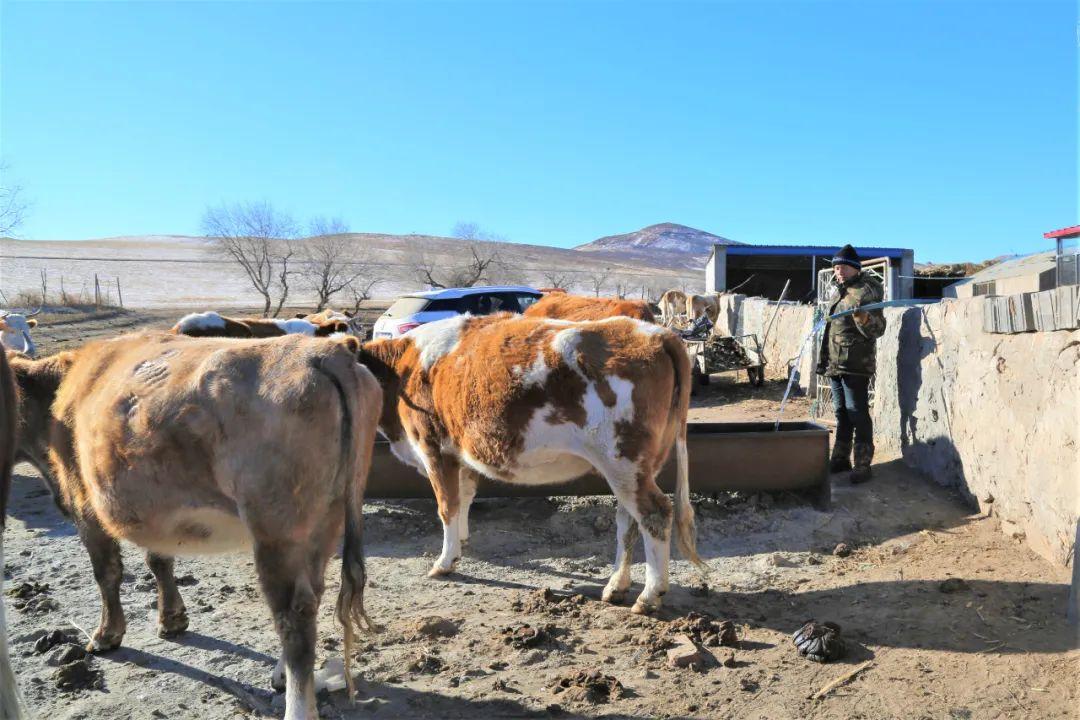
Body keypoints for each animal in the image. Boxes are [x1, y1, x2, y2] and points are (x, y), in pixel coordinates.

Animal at [7, 338, 380, 720]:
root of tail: (325, 352)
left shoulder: (84, 504)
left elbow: (107, 574)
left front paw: (107, 634)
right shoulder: (154, 513)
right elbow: (159, 560)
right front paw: (172, 618)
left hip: (277, 531)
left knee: (294, 613)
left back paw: (296, 705)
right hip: (324, 520)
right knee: (312, 596)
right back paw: (280, 674)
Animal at [358, 313, 704, 613]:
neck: (402, 368)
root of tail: (656, 333)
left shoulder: (433, 449)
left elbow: (447, 506)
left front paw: (445, 562)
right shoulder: (461, 454)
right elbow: (464, 498)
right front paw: (462, 541)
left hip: (622, 460)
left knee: (654, 514)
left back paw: (649, 596)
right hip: (636, 467)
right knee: (627, 521)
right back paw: (616, 586)